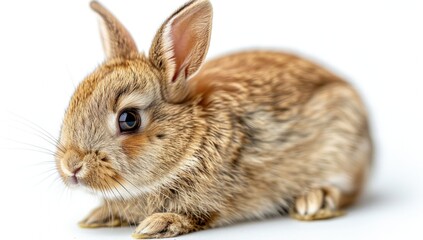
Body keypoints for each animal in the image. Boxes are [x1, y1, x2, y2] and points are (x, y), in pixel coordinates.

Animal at [55, 0, 374, 238]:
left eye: (129, 120)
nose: (72, 166)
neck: (191, 141)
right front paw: (98, 216)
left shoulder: (216, 199)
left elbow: (200, 215)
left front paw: (159, 224)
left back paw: (313, 201)